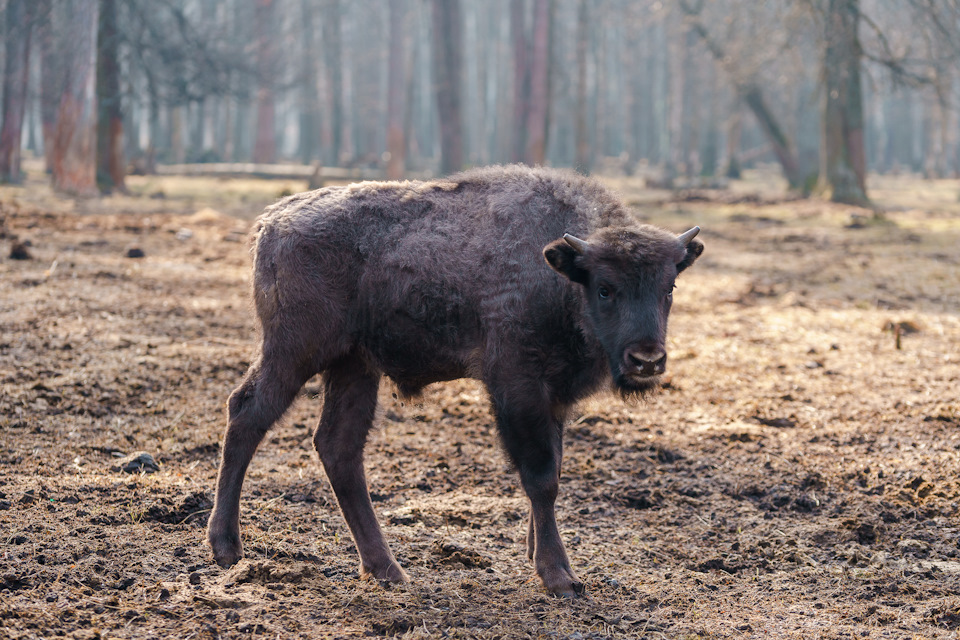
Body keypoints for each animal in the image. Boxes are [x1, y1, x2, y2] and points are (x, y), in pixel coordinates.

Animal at [206, 164, 700, 596]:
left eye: (669, 288)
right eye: (604, 288)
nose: (647, 360)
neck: (558, 272)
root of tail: (272, 221)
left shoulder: (555, 398)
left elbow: (555, 469)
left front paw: (534, 551)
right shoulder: (517, 387)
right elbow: (541, 477)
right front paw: (559, 576)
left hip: (354, 366)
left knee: (338, 447)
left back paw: (386, 569)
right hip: (294, 352)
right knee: (247, 413)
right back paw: (227, 546)